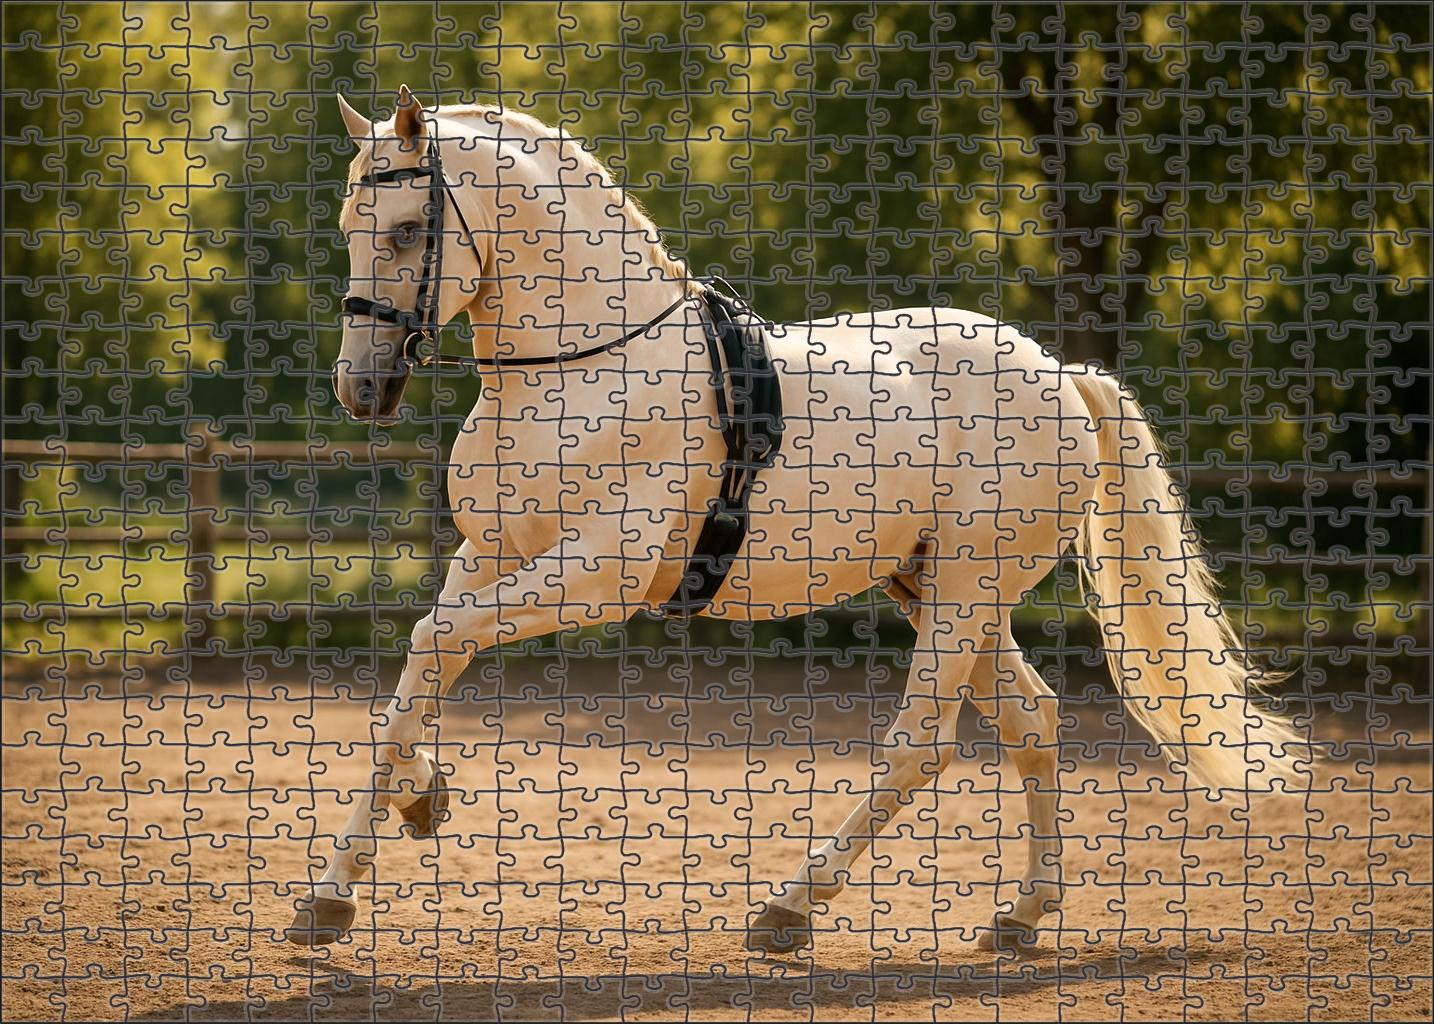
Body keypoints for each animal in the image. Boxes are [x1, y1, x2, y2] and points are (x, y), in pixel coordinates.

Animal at [287, 86, 1303, 955]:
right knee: (1033, 721)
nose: (361, 389)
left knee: (922, 745)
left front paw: (387, 835)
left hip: (966, 594)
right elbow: (422, 666)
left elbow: (436, 639)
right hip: (936, 587)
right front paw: (362, 862)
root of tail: (1059, 374)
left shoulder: (597, 573)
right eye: (345, 230)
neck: (581, 365)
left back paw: (789, 910)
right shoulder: (490, 555)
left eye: (409, 230)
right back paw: (1020, 916)